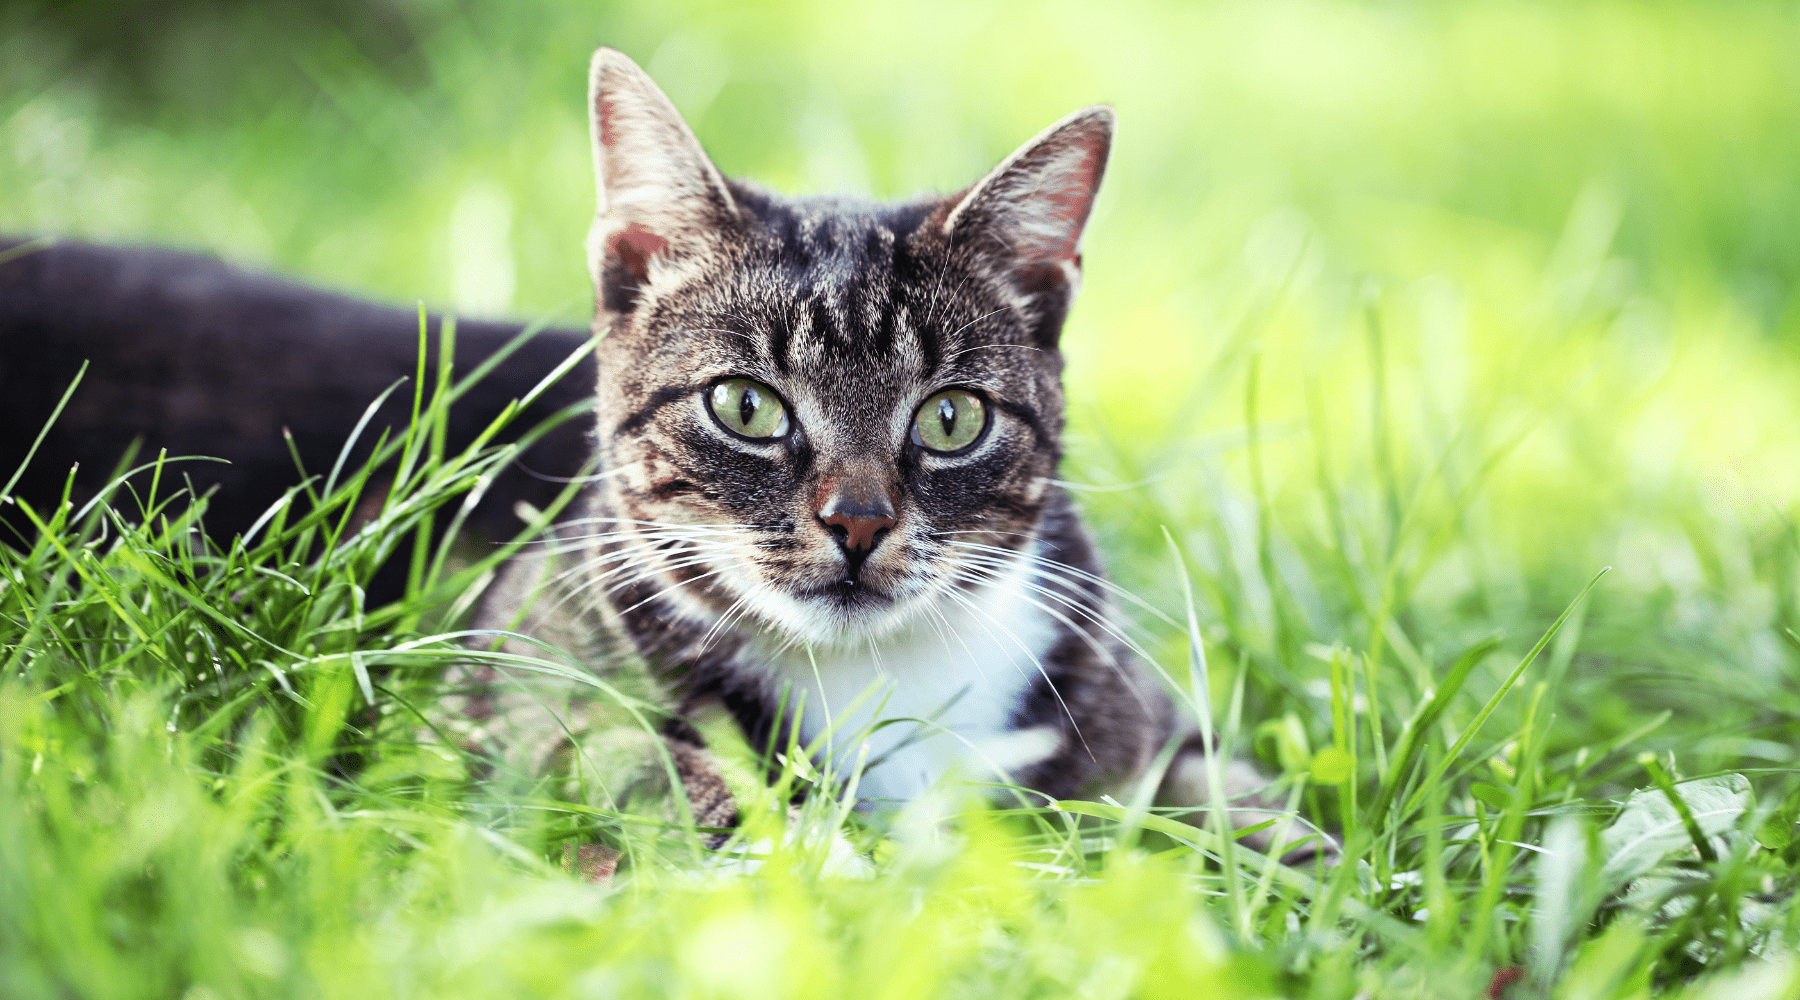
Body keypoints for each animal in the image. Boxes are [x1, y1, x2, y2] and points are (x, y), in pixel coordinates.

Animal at [450, 46, 1324, 859]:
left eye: (951, 418)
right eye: (745, 407)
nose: (859, 522)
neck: (878, 674)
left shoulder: (1132, 703)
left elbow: (1227, 786)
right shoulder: (505, 689)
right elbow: (632, 753)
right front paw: (814, 858)